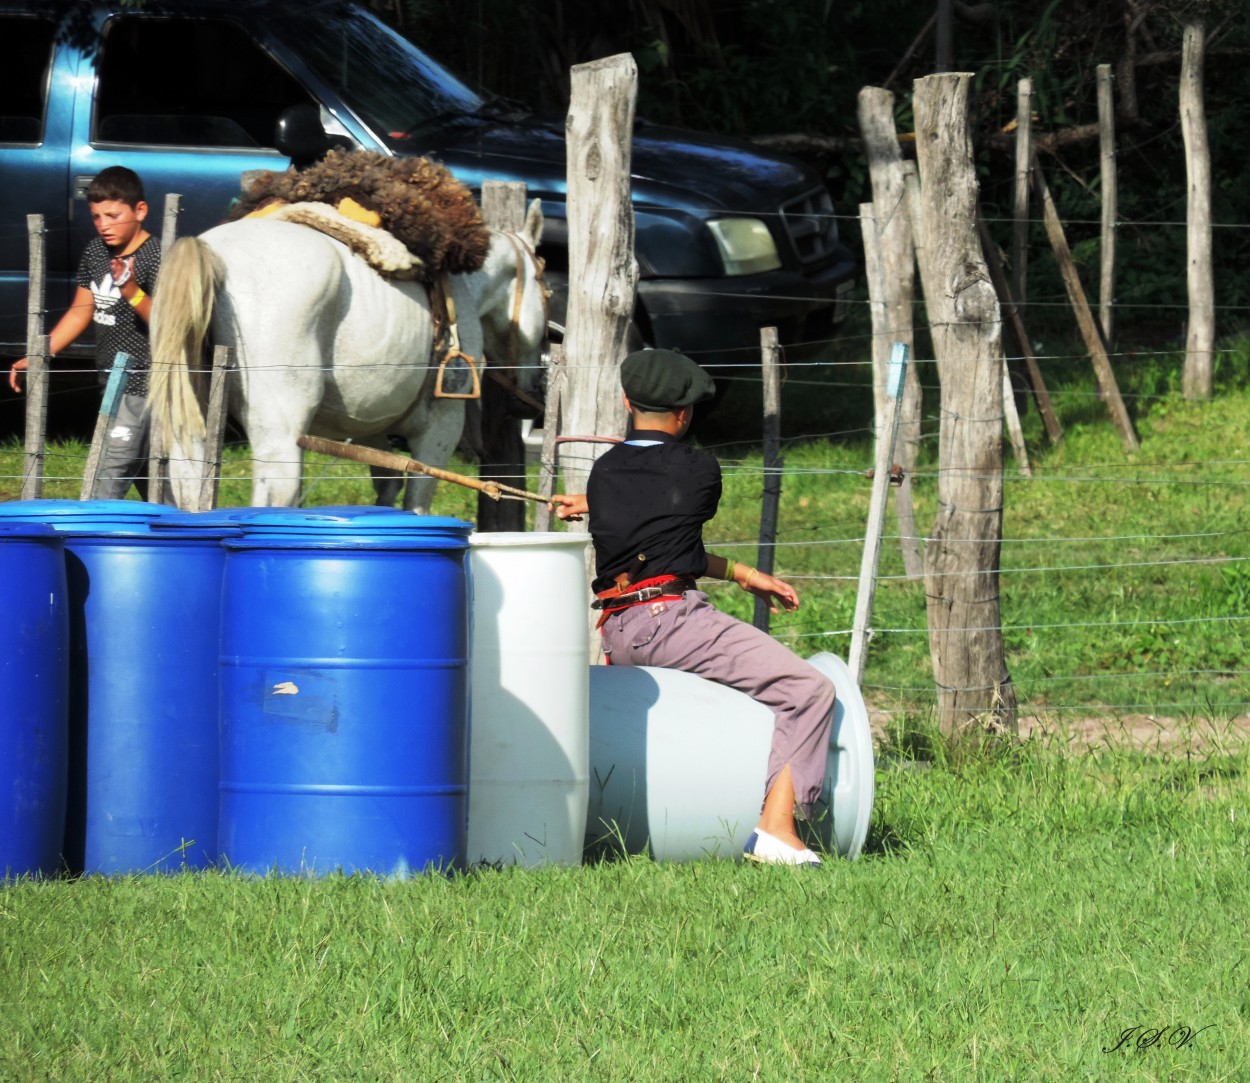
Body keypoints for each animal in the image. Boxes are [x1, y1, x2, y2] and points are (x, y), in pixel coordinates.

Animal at [147, 198, 547, 510]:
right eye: (546, 288)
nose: (529, 398)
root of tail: (213, 253)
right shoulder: (440, 430)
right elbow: (416, 501)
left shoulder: (373, 431)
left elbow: (388, 489)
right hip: (280, 440)